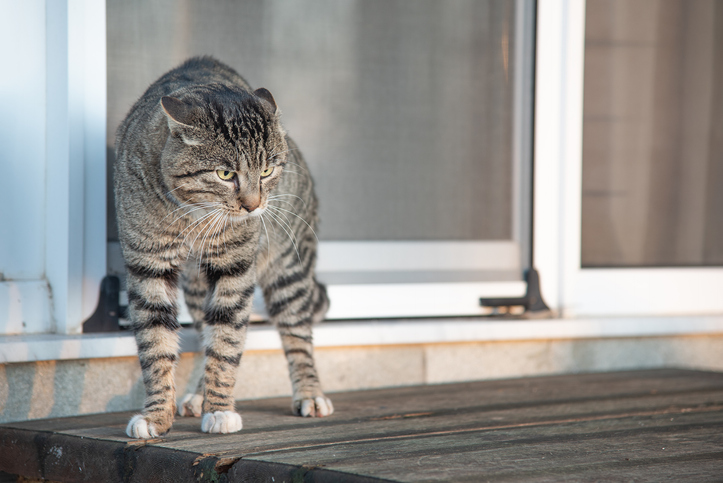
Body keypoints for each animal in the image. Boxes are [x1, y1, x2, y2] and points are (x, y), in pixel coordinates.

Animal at [115, 56, 334, 438]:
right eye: (224, 174)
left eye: (267, 171)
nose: (253, 206)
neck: (194, 215)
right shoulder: (149, 266)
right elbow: (156, 344)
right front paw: (156, 416)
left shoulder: (235, 267)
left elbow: (227, 341)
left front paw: (219, 410)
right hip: (196, 287)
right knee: (205, 329)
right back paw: (197, 395)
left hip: (288, 266)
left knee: (297, 333)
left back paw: (310, 393)